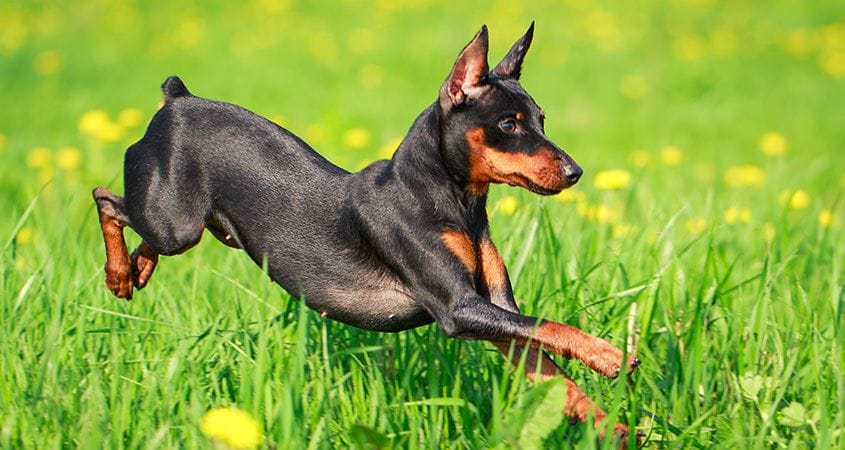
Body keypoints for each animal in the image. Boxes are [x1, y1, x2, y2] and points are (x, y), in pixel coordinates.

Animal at [92, 22, 640, 444]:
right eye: (508, 124)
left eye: (542, 120)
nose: (575, 172)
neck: (452, 202)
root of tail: (176, 99)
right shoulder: (460, 309)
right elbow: (554, 327)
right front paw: (612, 355)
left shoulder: (499, 312)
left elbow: (555, 370)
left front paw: (615, 427)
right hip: (176, 225)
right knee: (106, 199)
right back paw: (119, 274)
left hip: (190, 222)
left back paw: (137, 269)